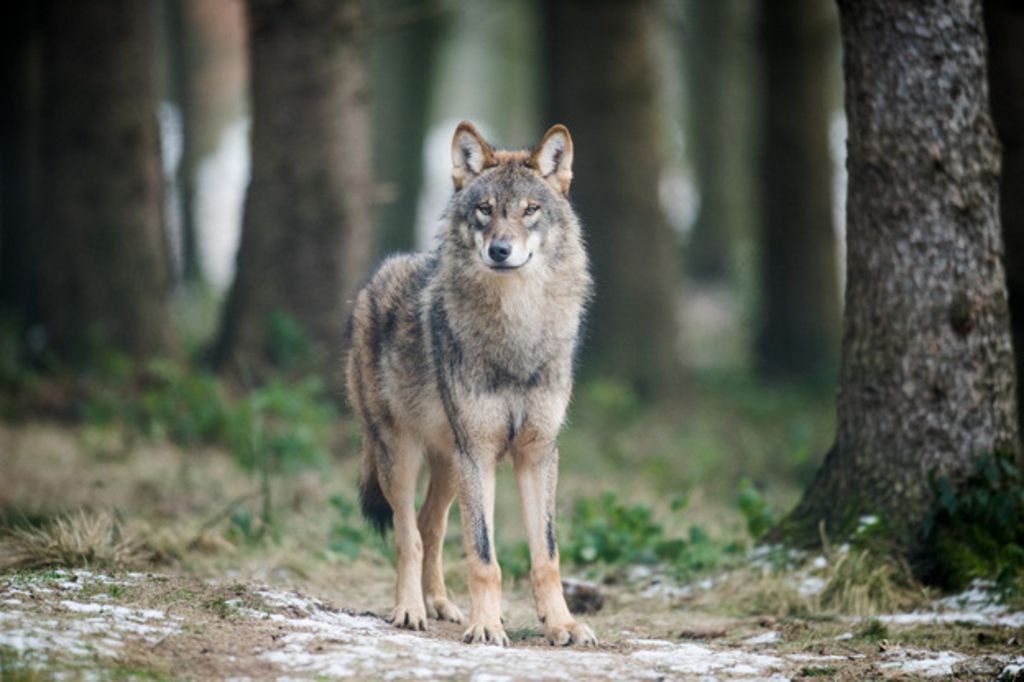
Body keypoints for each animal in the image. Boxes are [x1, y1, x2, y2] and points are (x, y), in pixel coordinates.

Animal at [346, 121, 595, 647]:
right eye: (485, 210)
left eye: (529, 210)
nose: (500, 250)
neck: (517, 331)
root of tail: (373, 279)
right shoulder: (478, 453)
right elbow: (484, 556)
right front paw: (487, 625)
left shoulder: (538, 453)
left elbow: (547, 555)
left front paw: (561, 624)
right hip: (402, 455)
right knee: (408, 534)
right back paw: (409, 609)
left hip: (448, 464)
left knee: (430, 525)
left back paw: (439, 604)